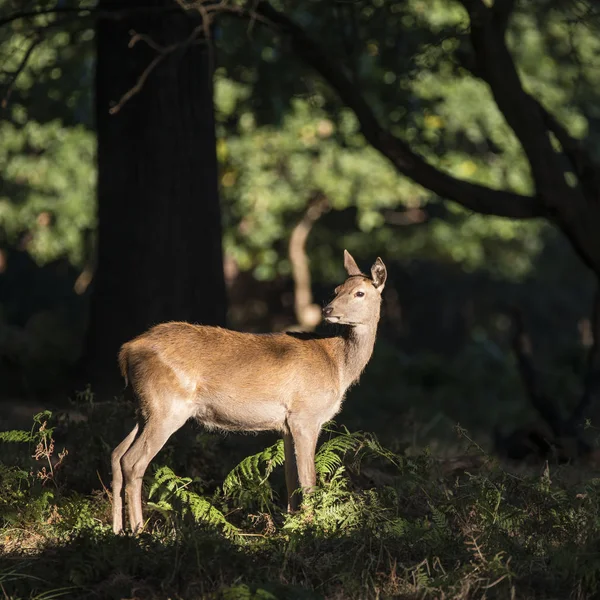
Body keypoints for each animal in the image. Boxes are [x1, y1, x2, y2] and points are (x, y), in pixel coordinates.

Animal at [110, 250, 386, 536]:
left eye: (359, 292)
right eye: (337, 289)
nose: (328, 309)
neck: (338, 366)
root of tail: (127, 351)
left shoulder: (287, 424)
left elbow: (291, 478)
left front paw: (291, 526)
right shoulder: (305, 415)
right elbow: (308, 479)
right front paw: (311, 529)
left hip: (145, 408)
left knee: (116, 454)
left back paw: (117, 529)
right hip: (168, 406)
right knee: (133, 460)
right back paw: (139, 530)